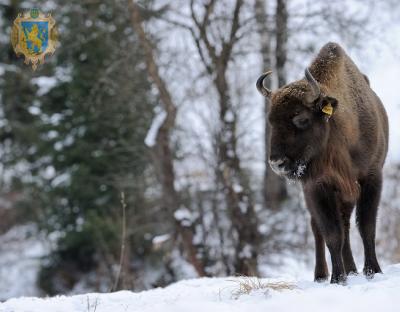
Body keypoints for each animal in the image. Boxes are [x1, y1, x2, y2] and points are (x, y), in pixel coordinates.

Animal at [256, 42, 388, 284]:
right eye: (270, 121)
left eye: (301, 118)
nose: (277, 163)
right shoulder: (318, 186)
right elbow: (331, 233)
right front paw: (337, 278)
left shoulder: (371, 178)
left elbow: (366, 226)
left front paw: (373, 271)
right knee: (319, 228)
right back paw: (322, 275)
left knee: (345, 225)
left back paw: (352, 270)